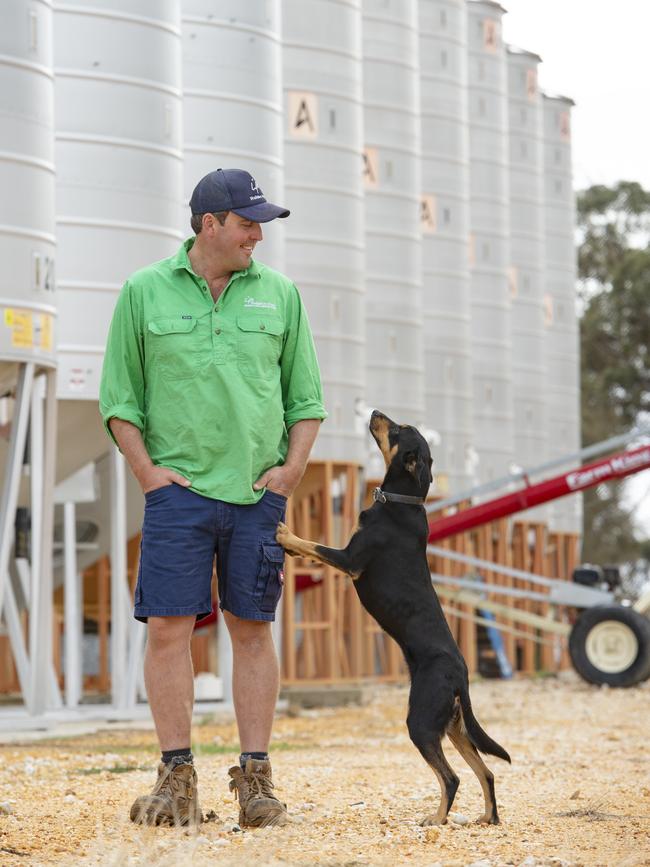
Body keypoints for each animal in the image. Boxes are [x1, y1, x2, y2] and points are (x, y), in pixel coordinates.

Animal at [276, 412, 508, 828]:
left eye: (399, 431)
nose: (374, 414)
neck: (402, 502)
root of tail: (461, 674)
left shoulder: (349, 559)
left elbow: (314, 545)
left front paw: (286, 534)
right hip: (453, 726)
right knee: (487, 772)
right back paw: (487, 818)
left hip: (421, 722)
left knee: (452, 777)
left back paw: (436, 818)